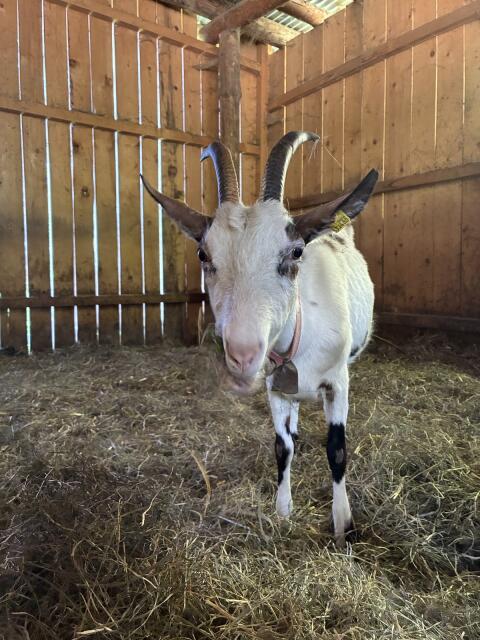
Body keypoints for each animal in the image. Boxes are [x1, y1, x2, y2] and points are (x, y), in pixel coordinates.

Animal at [141, 131, 378, 545]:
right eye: (203, 254)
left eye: (296, 252)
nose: (242, 353)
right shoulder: (275, 385)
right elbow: (282, 447)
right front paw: (283, 512)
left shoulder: (338, 382)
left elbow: (337, 450)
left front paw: (344, 526)